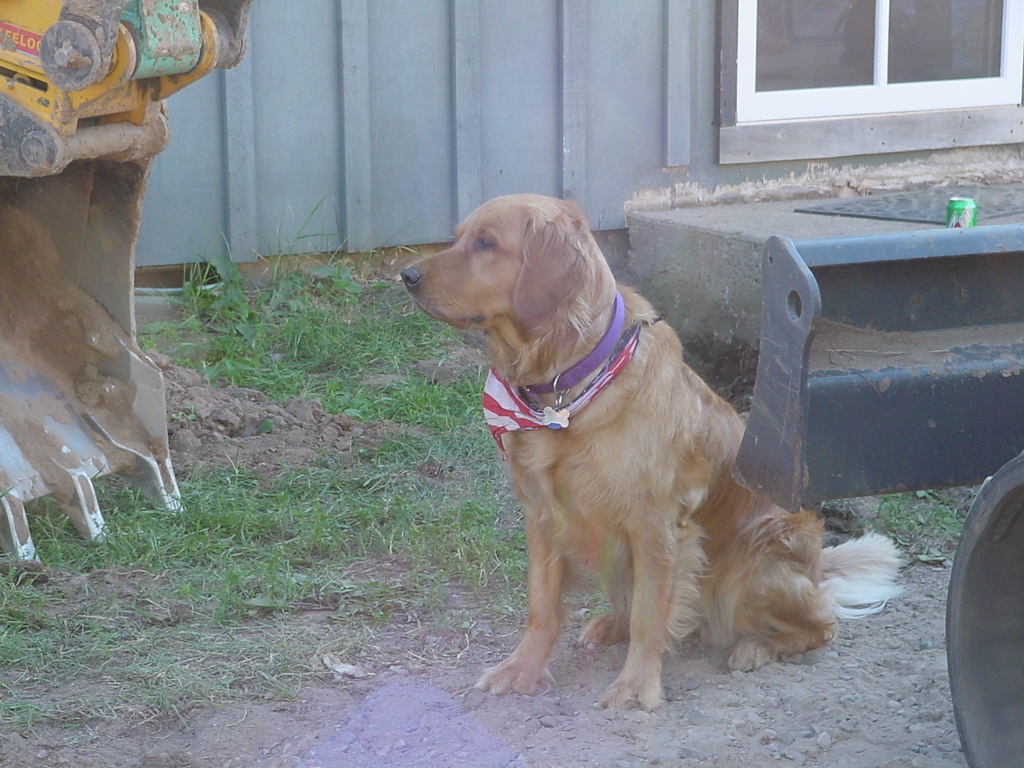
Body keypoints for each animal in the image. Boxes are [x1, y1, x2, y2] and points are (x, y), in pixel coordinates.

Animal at [397, 195, 897, 712]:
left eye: (486, 243)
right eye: (459, 237)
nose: (406, 276)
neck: (567, 385)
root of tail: (818, 569)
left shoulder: (655, 525)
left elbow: (649, 614)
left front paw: (636, 686)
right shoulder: (543, 514)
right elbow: (542, 606)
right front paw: (523, 669)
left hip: (749, 568)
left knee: (821, 625)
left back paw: (756, 646)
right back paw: (609, 624)